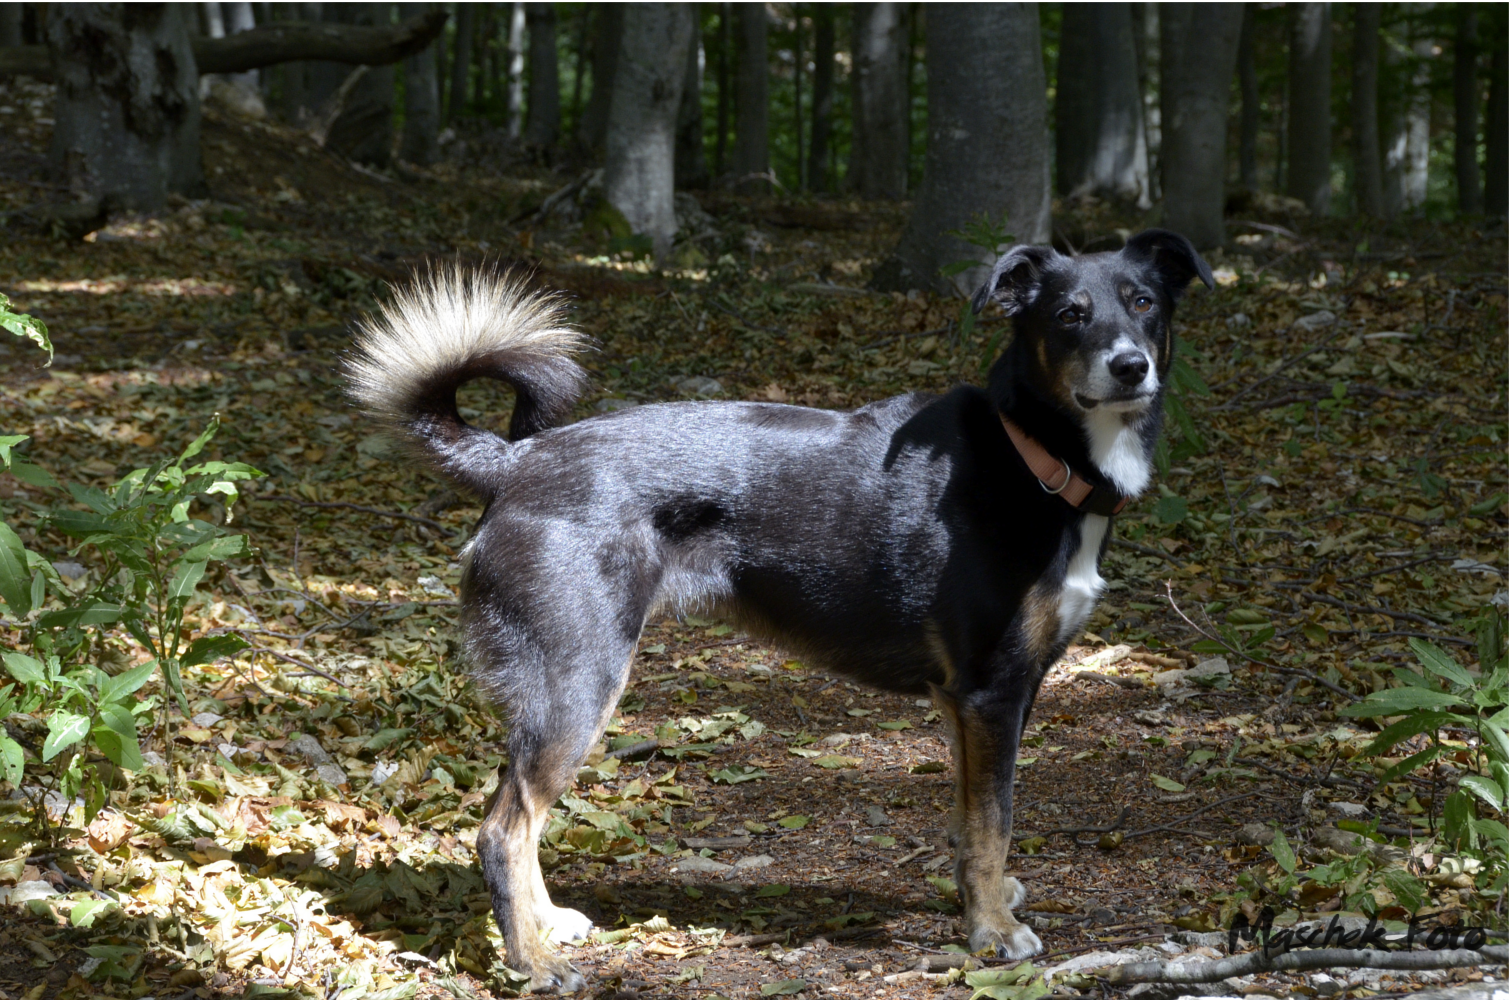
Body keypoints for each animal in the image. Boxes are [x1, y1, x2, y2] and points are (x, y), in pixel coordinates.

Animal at [347, 229, 1208, 996]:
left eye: (1143, 302)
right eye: (1069, 314)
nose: (1130, 366)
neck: (1032, 455)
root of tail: (516, 461)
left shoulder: (975, 701)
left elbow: (972, 825)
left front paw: (980, 904)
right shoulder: (992, 693)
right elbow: (992, 824)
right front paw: (994, 932)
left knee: (518, 820)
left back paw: (548, 924)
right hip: (577, 685)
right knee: (502, 830)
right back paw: (533, 963)